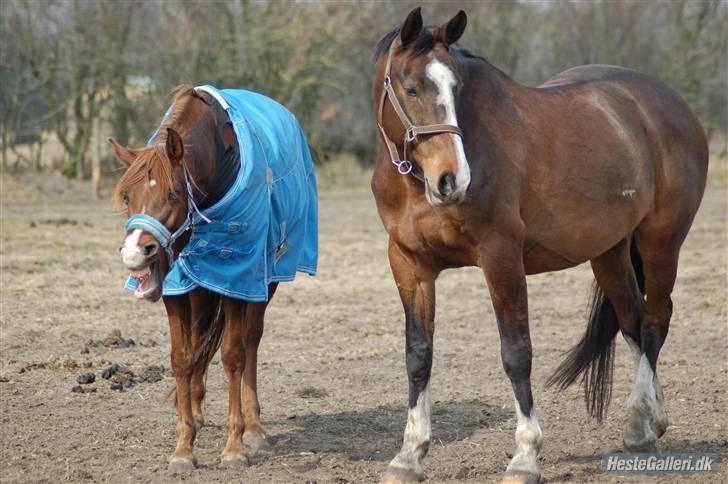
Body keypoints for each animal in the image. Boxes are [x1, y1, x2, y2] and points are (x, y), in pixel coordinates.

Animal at [109, 85, 316, 470]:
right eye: (127, 196)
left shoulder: (239, 278)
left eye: (172, 193)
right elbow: (182, 357)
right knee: (199, 340)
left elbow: (233, 355)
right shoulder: (176, 288)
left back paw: (254, 428)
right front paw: (183, 446)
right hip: (200, 289)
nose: (134, 253)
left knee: (250, 341)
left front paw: (234, 446)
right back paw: (196, 408)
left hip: (265, 282)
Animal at [372, 7, 708, 484]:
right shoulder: (409, 266)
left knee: (654, 323)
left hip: (661, 241)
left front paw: (526, 456)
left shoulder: (501, 257)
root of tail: (670, 104)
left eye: (456, 88)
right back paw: (650, 422)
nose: (453, 179)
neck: (414, 184)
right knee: (633, 320)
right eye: (411, 86)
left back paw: (637, 420)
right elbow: (418, 355)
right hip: (608, 252)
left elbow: (517, 353)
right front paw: (409, 455)